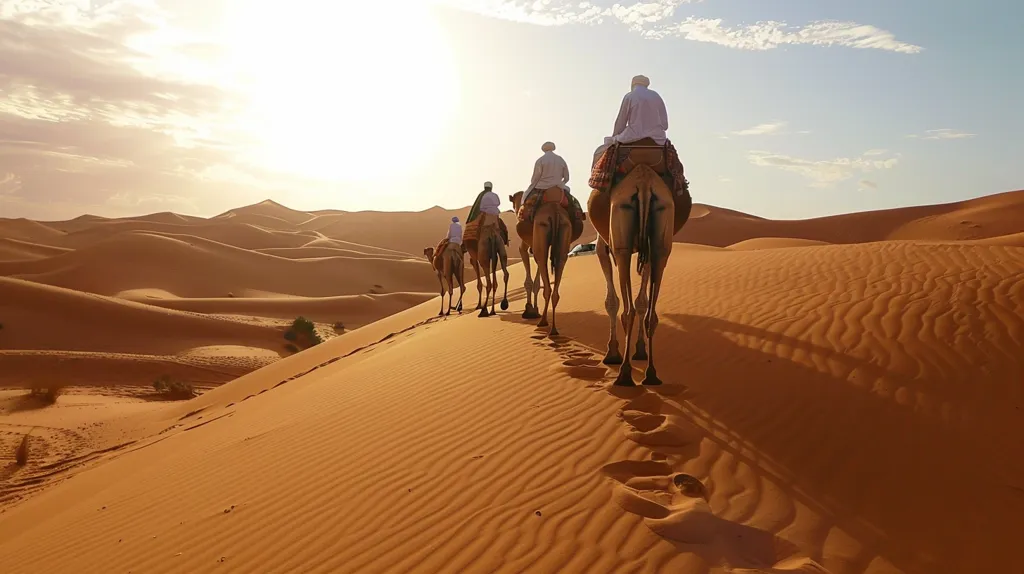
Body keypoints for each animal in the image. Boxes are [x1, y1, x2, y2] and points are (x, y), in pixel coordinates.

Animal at [588, 161, 692, 387]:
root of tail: (644, 184)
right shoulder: (648, 251)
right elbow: (642, 301)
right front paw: (640, 350)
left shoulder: (602, 247)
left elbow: (611, 301)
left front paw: (612, 352)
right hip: (662, 230)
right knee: (650, 313)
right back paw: (651, 374)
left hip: (621, 242)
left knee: (628, 311)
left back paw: (624, 374)